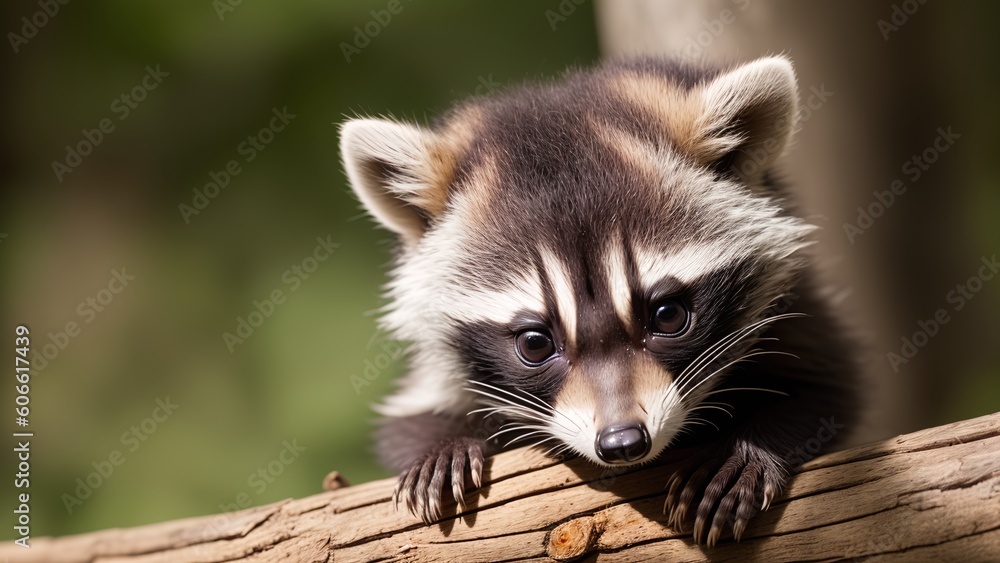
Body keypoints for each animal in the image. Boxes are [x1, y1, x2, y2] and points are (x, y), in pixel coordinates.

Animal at [339, 56, 859, 546]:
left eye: (668, 316)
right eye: (534, 343)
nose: (623, 441)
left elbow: (827, 388)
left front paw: (746, 448)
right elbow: (410, 417)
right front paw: (441, 444)